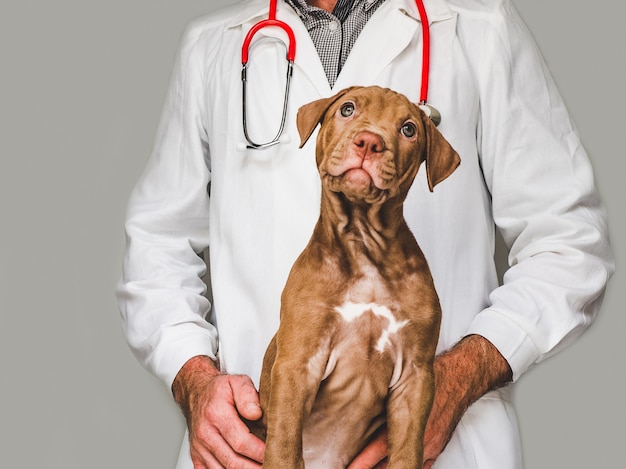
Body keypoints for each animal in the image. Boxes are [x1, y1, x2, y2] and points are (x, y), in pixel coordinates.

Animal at [254, 86, 458, 466]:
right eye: (347, 109)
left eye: (409, 129)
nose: (369, 142)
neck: (364, 245)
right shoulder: (297, 364)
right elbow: (284, 444)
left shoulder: (415, 377)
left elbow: (408, 449)